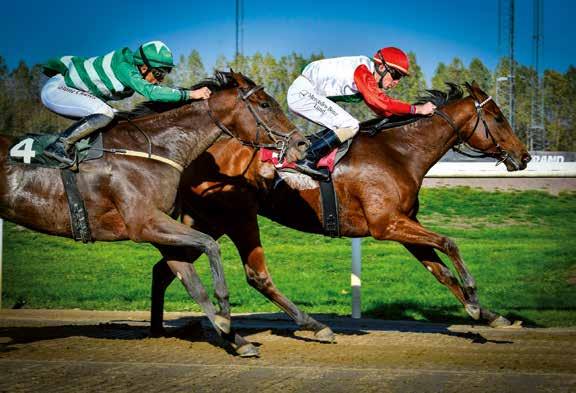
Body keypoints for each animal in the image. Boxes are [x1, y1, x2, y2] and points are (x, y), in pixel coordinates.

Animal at [0, 70, 308, 356]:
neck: (152, 149)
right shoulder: (145, 223)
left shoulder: (157, 229)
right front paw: (224, 313)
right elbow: (211, 246)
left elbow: (191, 282)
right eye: (265, 104)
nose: (301, 144)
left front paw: (235, 339)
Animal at [150, 82, 532, 340]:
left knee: (167, 266)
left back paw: (159, 329)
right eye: (498, 117)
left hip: (209, 220)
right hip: (238, 216)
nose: (525, 156)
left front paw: (488, 314)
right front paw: (474, 299)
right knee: (255, 275)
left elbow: (440, 271)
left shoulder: (405, 224)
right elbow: (449, 242)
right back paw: (314, 325)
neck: (400, 152)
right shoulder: (387, 224)